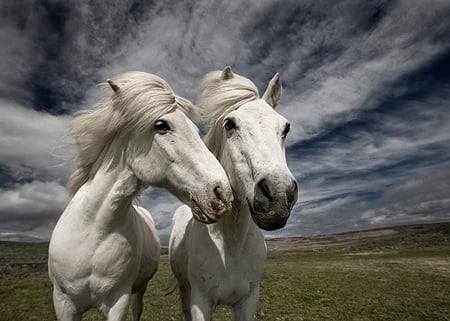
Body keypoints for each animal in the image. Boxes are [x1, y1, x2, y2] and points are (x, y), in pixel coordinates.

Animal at [48, 70, 234, 320]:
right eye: (161, 125)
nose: (222, 193)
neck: (92, 231)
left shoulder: (118, 301)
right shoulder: (63, 303)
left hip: (140, 288)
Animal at [169, 66, 298, 318]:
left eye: (286, 128)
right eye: (230, 124)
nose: (278, 196)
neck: (233, 245)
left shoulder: (248, 301)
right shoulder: (200, 302)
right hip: (184, 289)